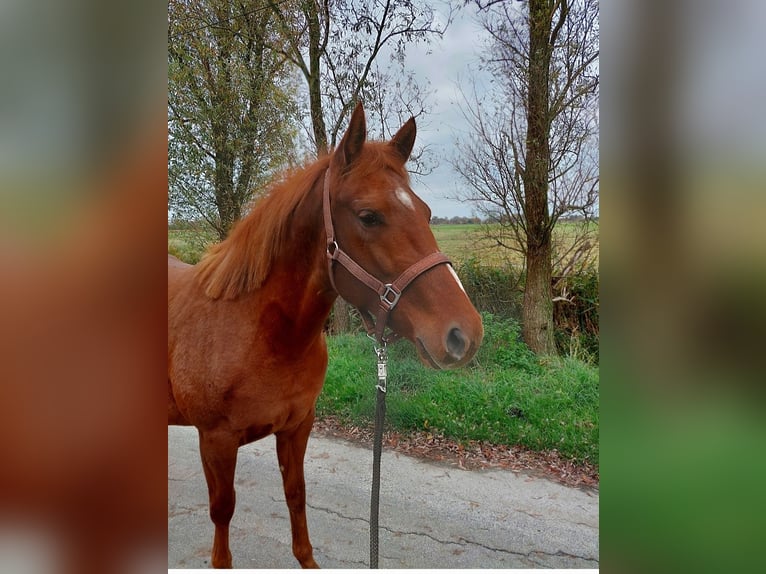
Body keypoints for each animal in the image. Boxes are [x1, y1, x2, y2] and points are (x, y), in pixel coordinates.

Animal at [169, 102, 486, 568]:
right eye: (369, 216)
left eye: (427, 214)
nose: (464, 333)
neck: (260, 333)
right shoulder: (216, 441)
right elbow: (222, 512)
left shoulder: (298, 426)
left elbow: (296, 496)